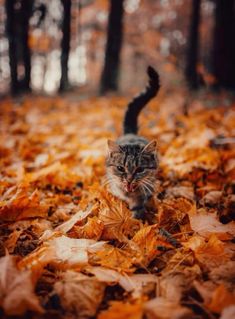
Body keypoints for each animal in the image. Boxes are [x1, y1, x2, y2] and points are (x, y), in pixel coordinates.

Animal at [106, 66, 160, 219]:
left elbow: (138, 206)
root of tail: (130, 132)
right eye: (120, 168)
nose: (129, 179)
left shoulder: (144, 190)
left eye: (140, 169)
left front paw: (136, 218)